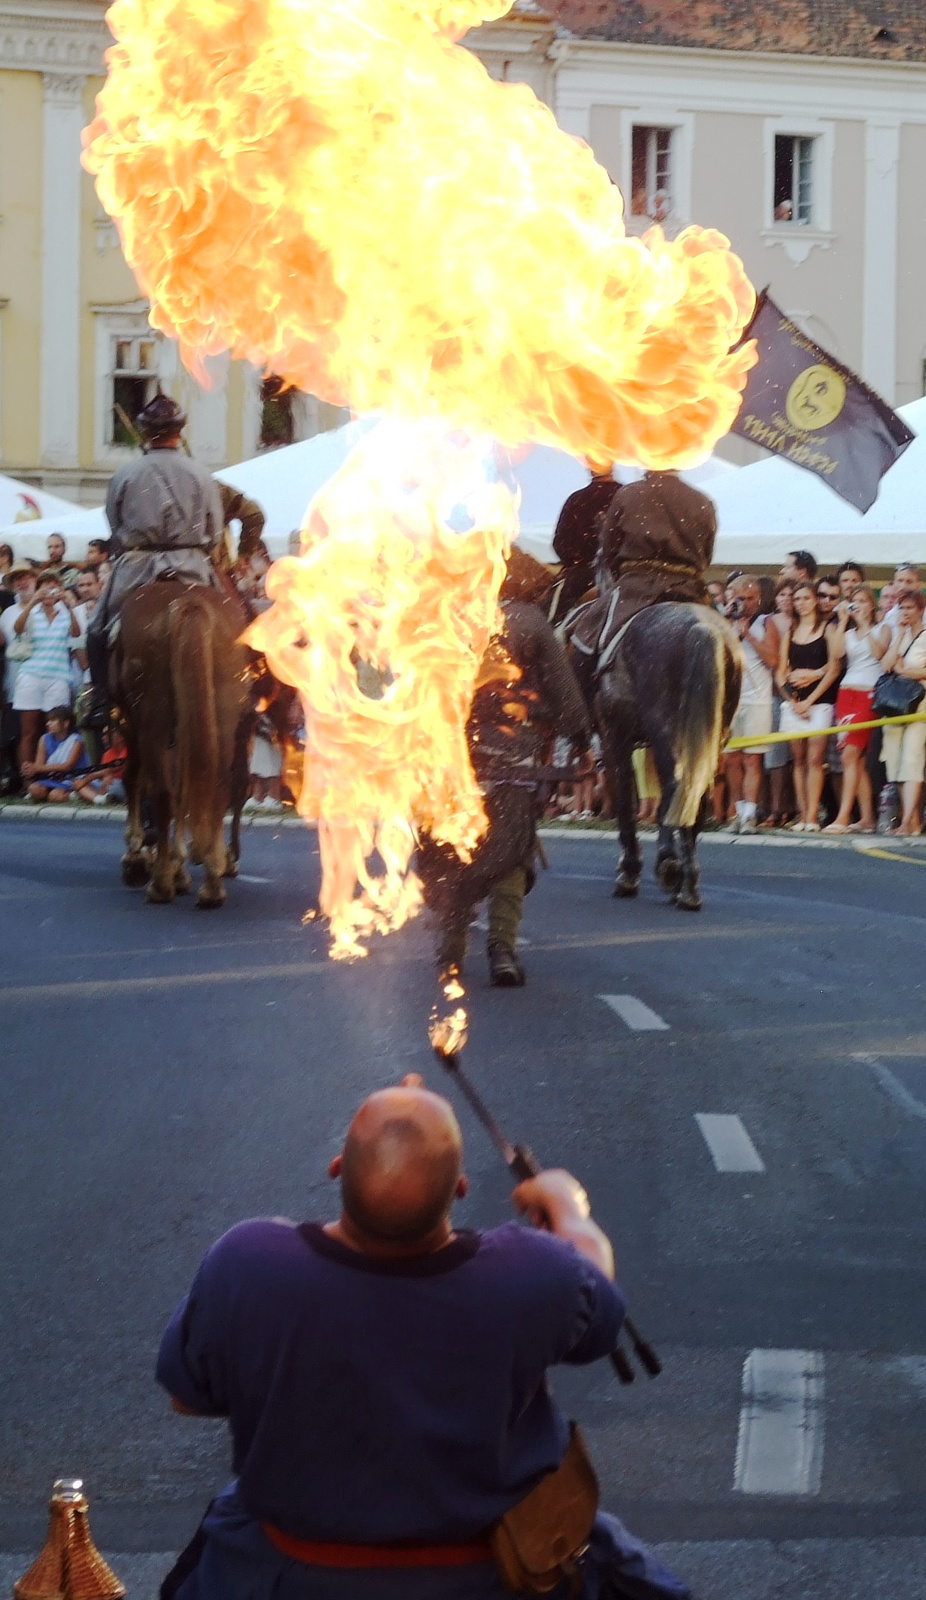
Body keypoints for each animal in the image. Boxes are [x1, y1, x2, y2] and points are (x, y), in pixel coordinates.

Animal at [114, 579, 251, 908]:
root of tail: (189, 602)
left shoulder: (133, 727)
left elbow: (135, 781)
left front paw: (137, 858)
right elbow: (185, 795)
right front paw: (180, 868)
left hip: (151, 723)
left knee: (161, 794)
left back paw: (161, 884)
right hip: (222, 721)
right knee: (218, 788)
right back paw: (212, 884)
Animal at [598, 601, 742, 908]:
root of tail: (702, 628)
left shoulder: (614, 736)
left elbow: (625, 795)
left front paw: (631, 871)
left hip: (663, 728)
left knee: (678, 786)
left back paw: (677, 877)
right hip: (712, 735)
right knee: (695, 793)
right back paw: (687, 885)